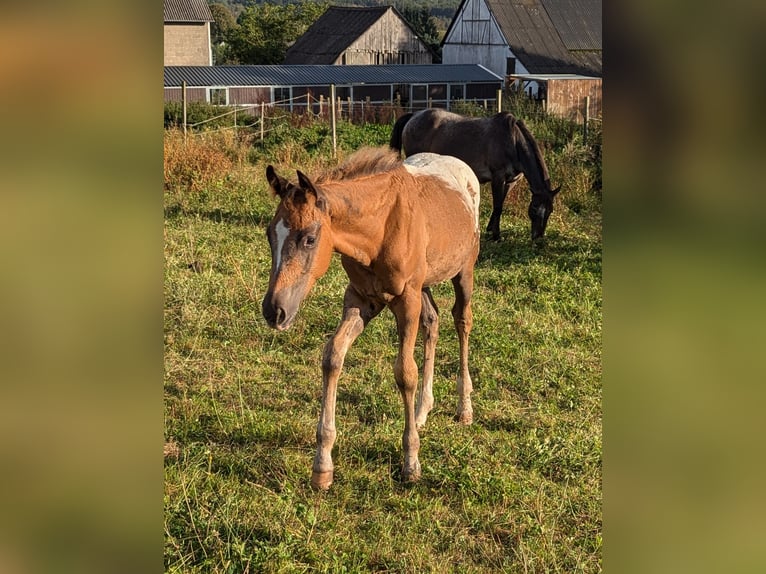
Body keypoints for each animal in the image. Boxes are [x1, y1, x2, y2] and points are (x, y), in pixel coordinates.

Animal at [392, 109, 560, 242]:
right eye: (534, 208)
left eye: (550, 210)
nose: (538, 238)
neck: (513, 141)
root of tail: (414, 115)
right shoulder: (497, 177)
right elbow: (498, 206)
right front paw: (496, 236)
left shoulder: (511, 181)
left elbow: (500, 204)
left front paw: (490, 228)